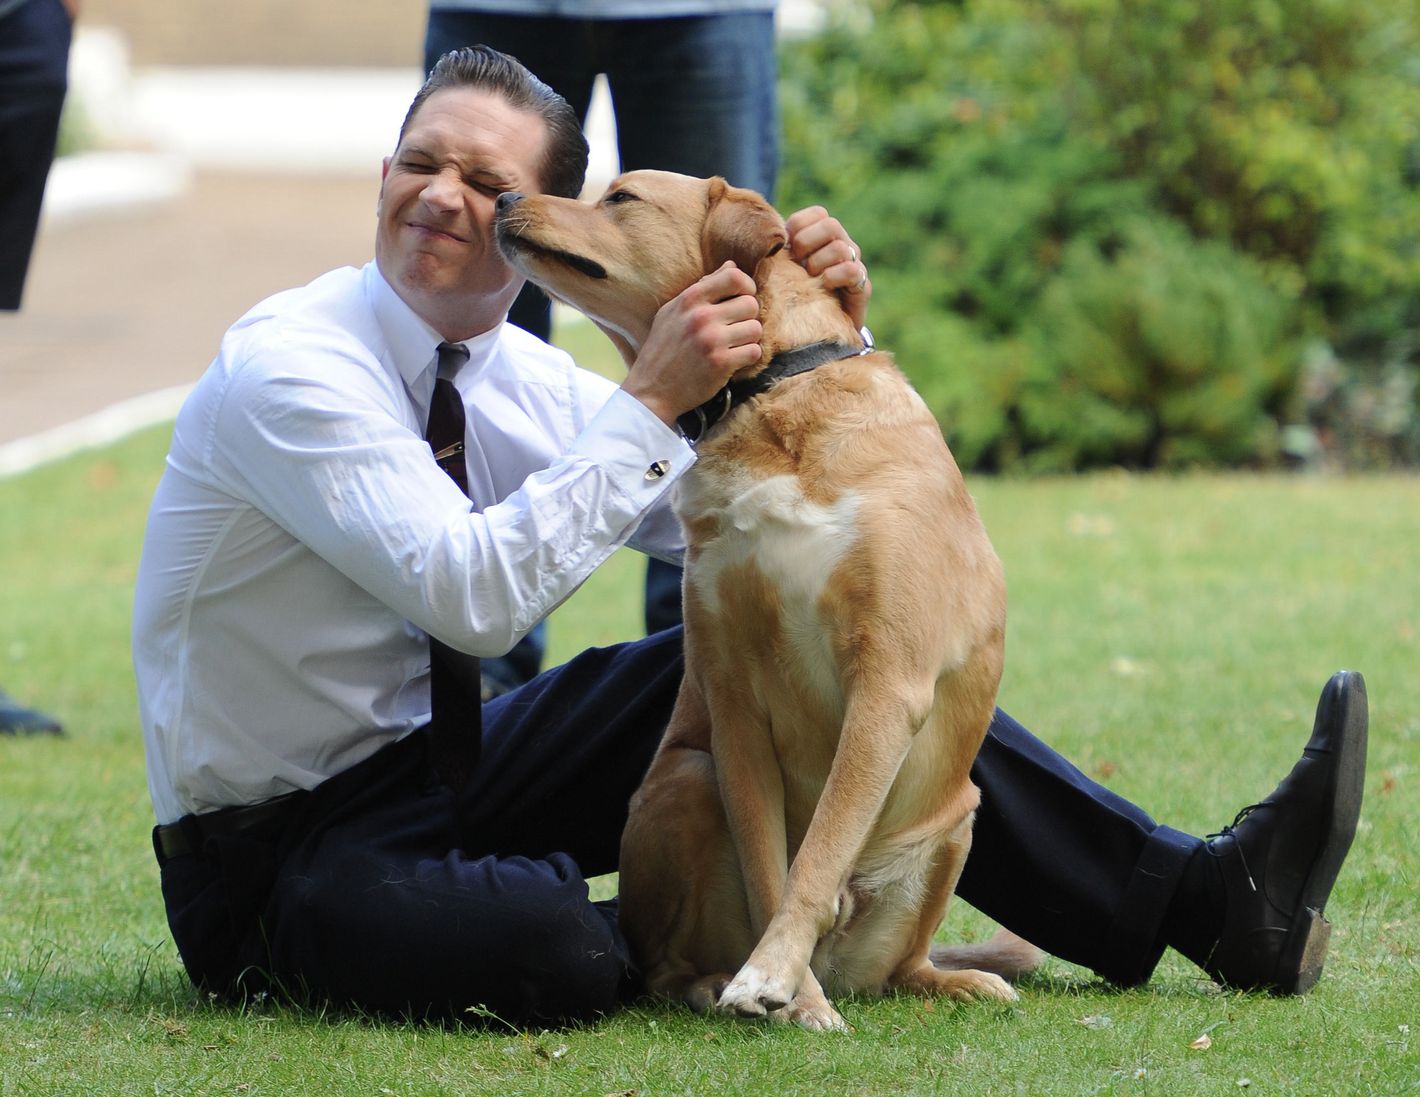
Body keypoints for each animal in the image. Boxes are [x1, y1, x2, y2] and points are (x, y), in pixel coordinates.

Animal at [494, 171, 1039, 1027]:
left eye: (621, 197)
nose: (504, 196)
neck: (769, 399)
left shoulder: (888, 681)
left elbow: (818, 850)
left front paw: (776, 975)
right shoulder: (733, 698)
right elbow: (771, 867)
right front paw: (783, 987)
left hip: (957, 819)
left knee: (904, 965)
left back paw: (955, 979)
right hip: (687, 778)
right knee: (665, 969)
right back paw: (721, 982)